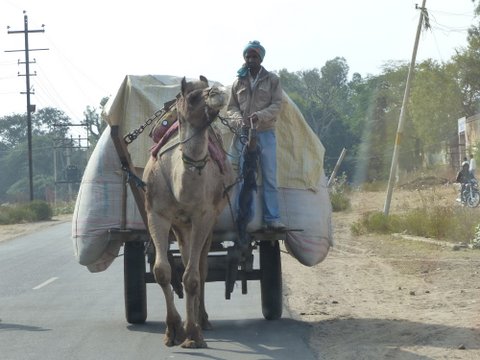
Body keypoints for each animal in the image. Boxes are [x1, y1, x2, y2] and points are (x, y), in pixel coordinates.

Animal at [142, 76, 234, 348]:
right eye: (192, 97)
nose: (217, 92)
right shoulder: (157, 214)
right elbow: (162, 271)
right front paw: (173, 329)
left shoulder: (203, 216)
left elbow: (192, 277)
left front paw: (192, 334)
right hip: (180, 225)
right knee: (183, 259)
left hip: (207, 221)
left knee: (200, 268)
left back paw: (202, 320)